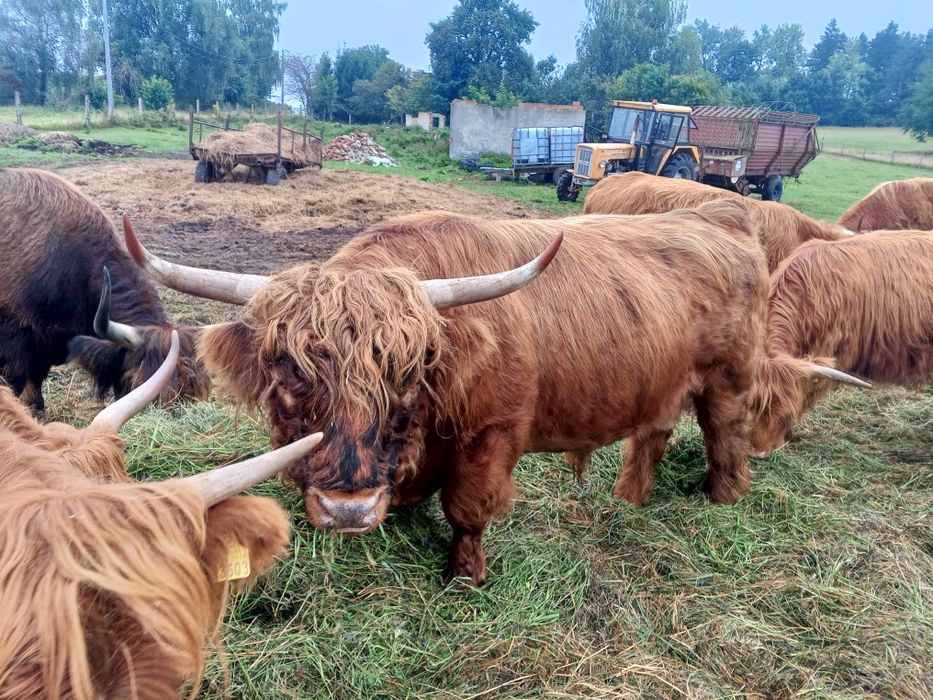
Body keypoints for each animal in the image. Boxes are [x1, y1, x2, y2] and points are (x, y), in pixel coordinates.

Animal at [115, 201, 843, 585]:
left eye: (407, 372)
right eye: (291, 370)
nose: (348, 508)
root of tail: (717, 213)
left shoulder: (492, 434)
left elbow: (466, 507)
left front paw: (464, 572)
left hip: (727, 379)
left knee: (725, 437)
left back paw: (721, 500)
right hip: (659, 382)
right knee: (655, 433)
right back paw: (627, 500)